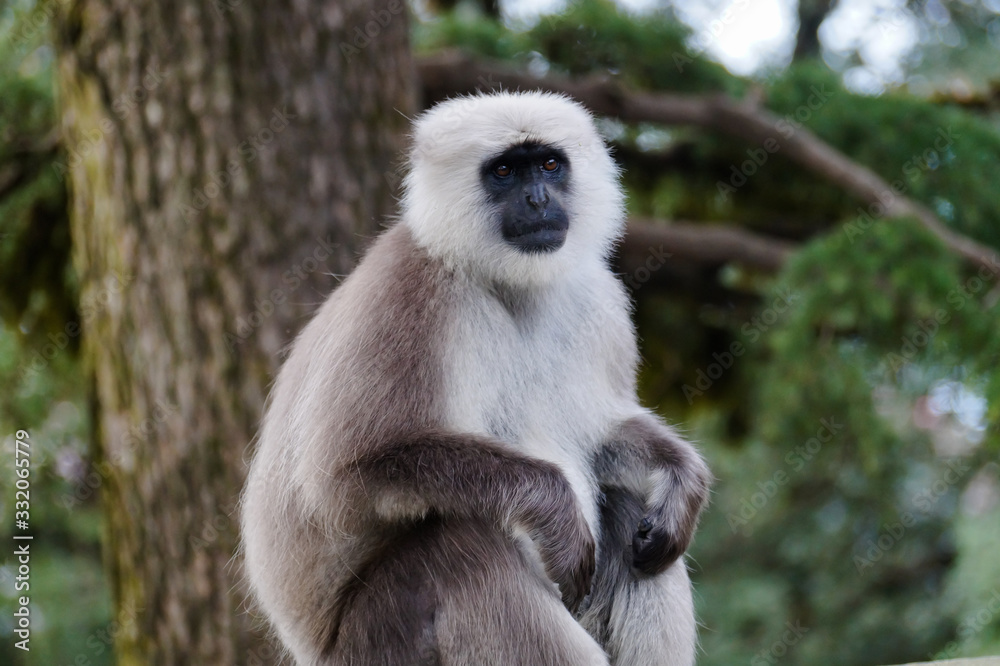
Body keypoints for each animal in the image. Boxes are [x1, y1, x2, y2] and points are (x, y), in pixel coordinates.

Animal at [240, 91, 712, 666]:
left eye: (549, 165)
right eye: (504, 171)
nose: (538, 200)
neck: (508, 286)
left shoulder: (600, 300)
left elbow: (604, 436)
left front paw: (683, 479)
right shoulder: (411, 294)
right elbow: (347, 474)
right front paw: (556, 511)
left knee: (624, 509)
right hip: (379, 640)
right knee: (467, 547)